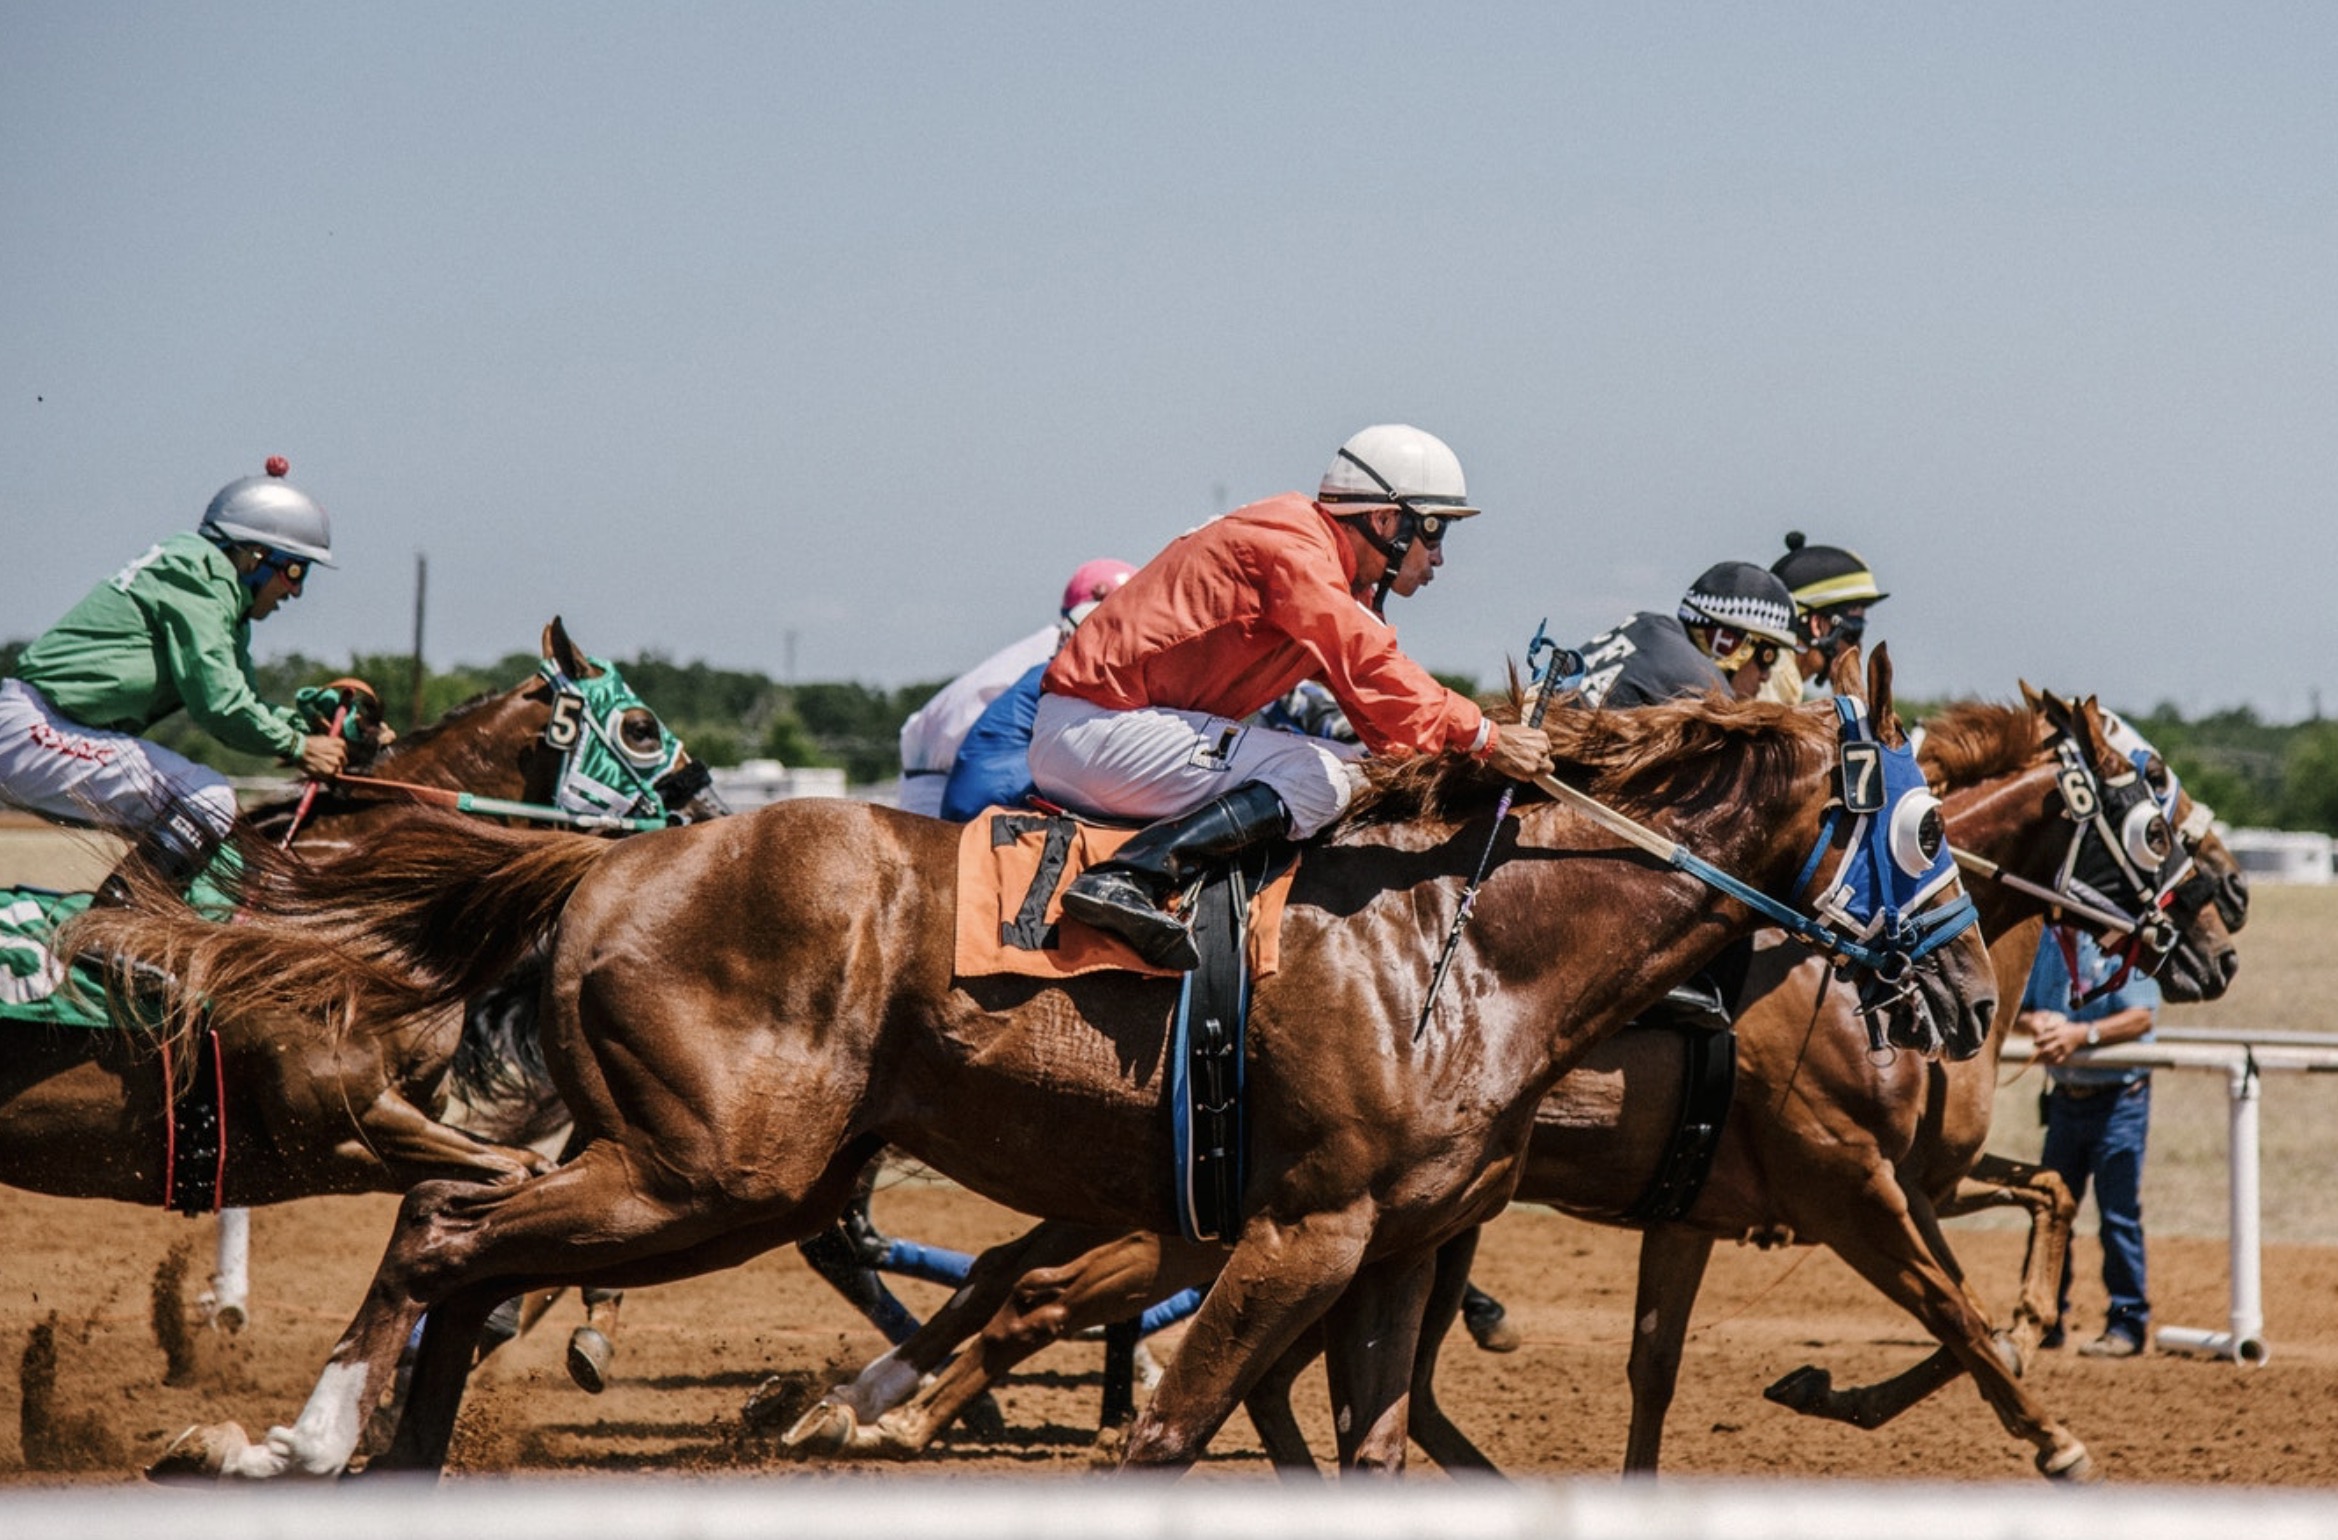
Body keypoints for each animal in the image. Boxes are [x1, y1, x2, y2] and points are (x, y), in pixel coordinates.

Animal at [0, 621, 710, 1215]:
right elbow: (511, 1172)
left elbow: (517, 1171)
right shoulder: (341, 1130)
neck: (341, 923)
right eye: (640, 729)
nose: (708, 808)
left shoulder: (413, 1113)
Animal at [113, 644, 1991, 1476]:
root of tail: (615, 864)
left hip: (703, 1169)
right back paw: (293, 1439)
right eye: (1921, 826)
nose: (1974, 1003)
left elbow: (1371, 1441)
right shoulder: (1295, 1229)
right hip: (714, 1172)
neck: (1466, 945)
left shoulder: (1391, 1248)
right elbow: (1157, 1429)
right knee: (448, 1238)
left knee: (467, 1255)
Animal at [790, 691, 2244, 1486]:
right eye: (2155, 809)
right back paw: (888, 1407)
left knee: (1053, 1290)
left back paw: (875, 1401)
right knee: (1046, 1291)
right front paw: (2040, 1432)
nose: (2225, 932)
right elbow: (1955, 1313)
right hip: (1227, 1210)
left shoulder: (1726, 1204)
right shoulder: (1845, 1180)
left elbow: (1670, 1362)